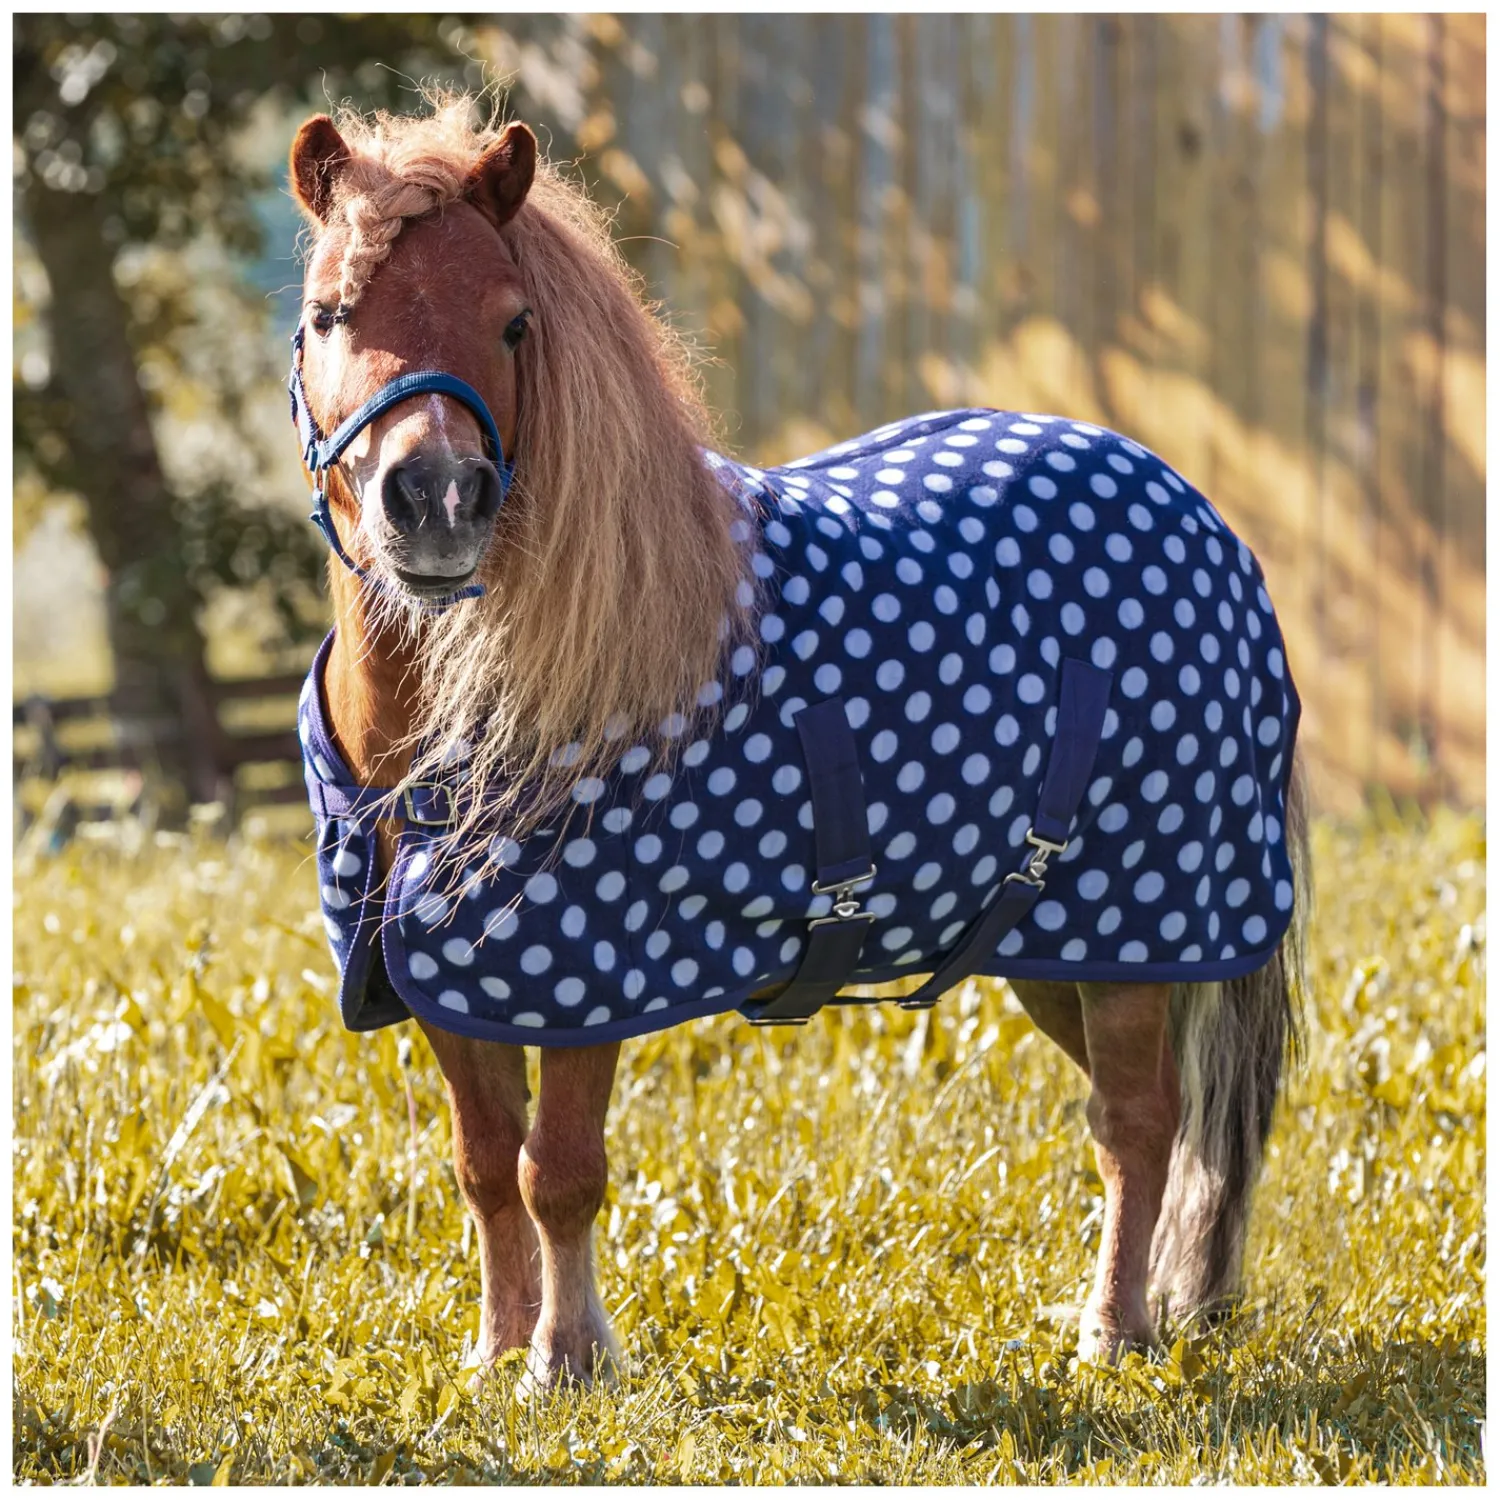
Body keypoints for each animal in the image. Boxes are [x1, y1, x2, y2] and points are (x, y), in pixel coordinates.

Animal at [286, 98, 1307, 1393]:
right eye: (332, 312)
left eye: (513, 322)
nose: (434, 500)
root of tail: (1194, 510)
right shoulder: (446, 983)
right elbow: (483, 1167)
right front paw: (497, 1351)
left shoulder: (581, 983)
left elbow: (556, 1171)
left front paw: (568, 1362)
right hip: (1062, 946)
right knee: (1157, 1117)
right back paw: (1163, 1305)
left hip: (1141, 922)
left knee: (1137, 1123)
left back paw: (1112, 1333)